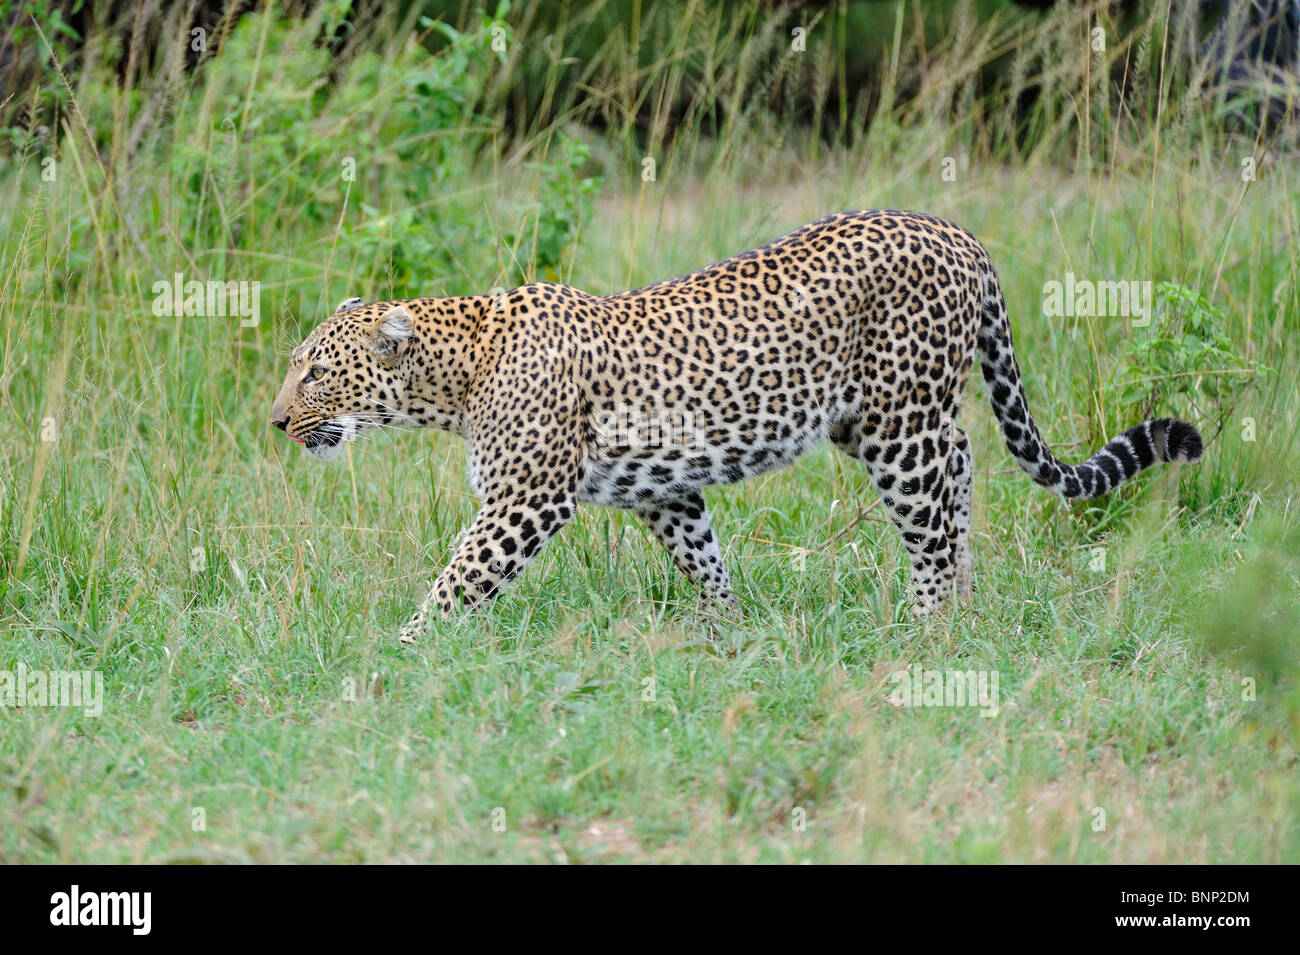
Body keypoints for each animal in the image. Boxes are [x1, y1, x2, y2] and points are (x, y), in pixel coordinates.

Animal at [269, 207, 1201, 641]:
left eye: (314, 369)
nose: (276, 421)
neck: (456, 377)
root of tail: (958, 233)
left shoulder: (524, 500)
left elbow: (458, 578)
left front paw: (404, 647)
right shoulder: (663, 489)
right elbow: (702, 556)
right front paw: (727, 627)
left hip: (898, 422)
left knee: (931, 515)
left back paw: (927, 628)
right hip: (890, 416)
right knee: (962, 472)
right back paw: (968, 604)